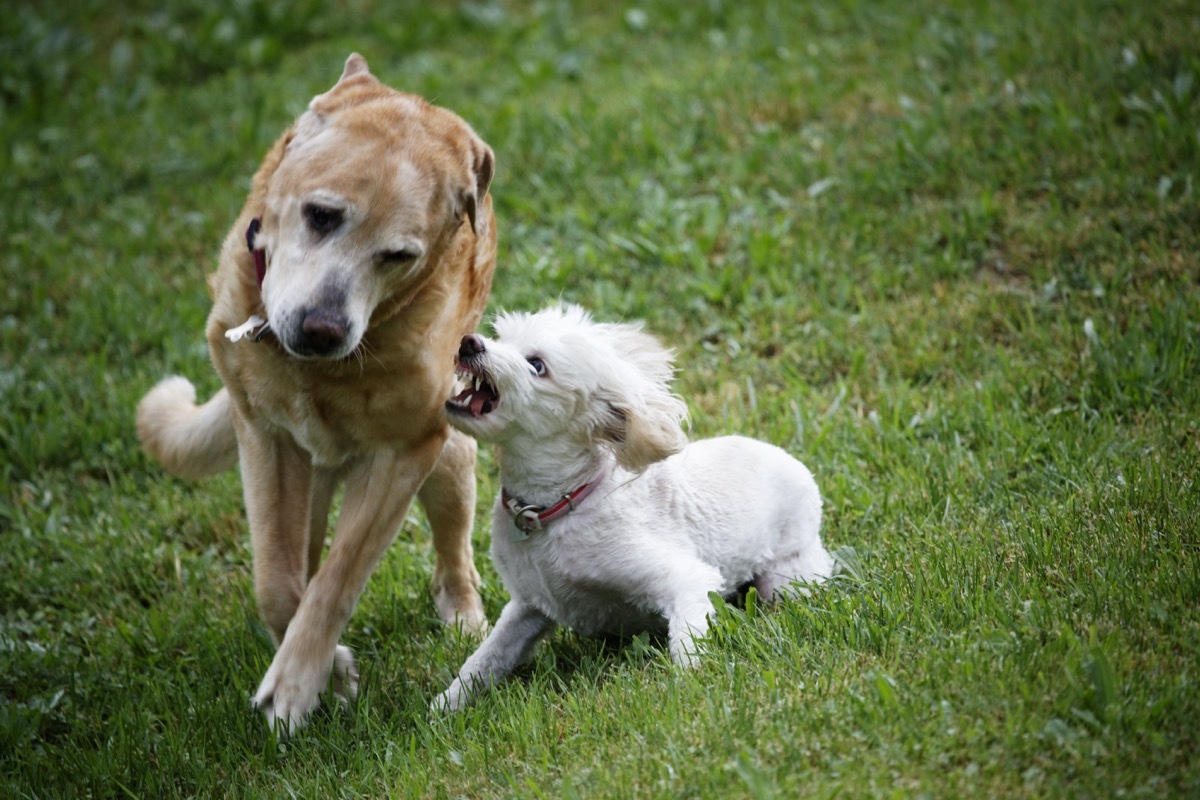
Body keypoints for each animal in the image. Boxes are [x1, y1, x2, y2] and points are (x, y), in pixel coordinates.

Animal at [138, 54, 494, 734]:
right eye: (322, 215)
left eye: (397, 255)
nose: (322, 330)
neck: (318, 373)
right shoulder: (265, 436)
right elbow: (278, 582)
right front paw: (328, 671)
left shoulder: (405, 452)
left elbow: (340, 576)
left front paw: (298, 682)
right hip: (309, 473)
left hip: (446, 462)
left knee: (452, 548)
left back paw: (464, 616)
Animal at [434, 303, 835, 710]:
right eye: (501, 337)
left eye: (536, 364)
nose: (469, 342)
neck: (557, 508)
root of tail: (794, 463)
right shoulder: (529, 606)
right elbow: (486, 659)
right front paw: (445, 706)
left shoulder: (686, 581)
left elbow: (687, 643)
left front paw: (690, 688)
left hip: (788, 577)